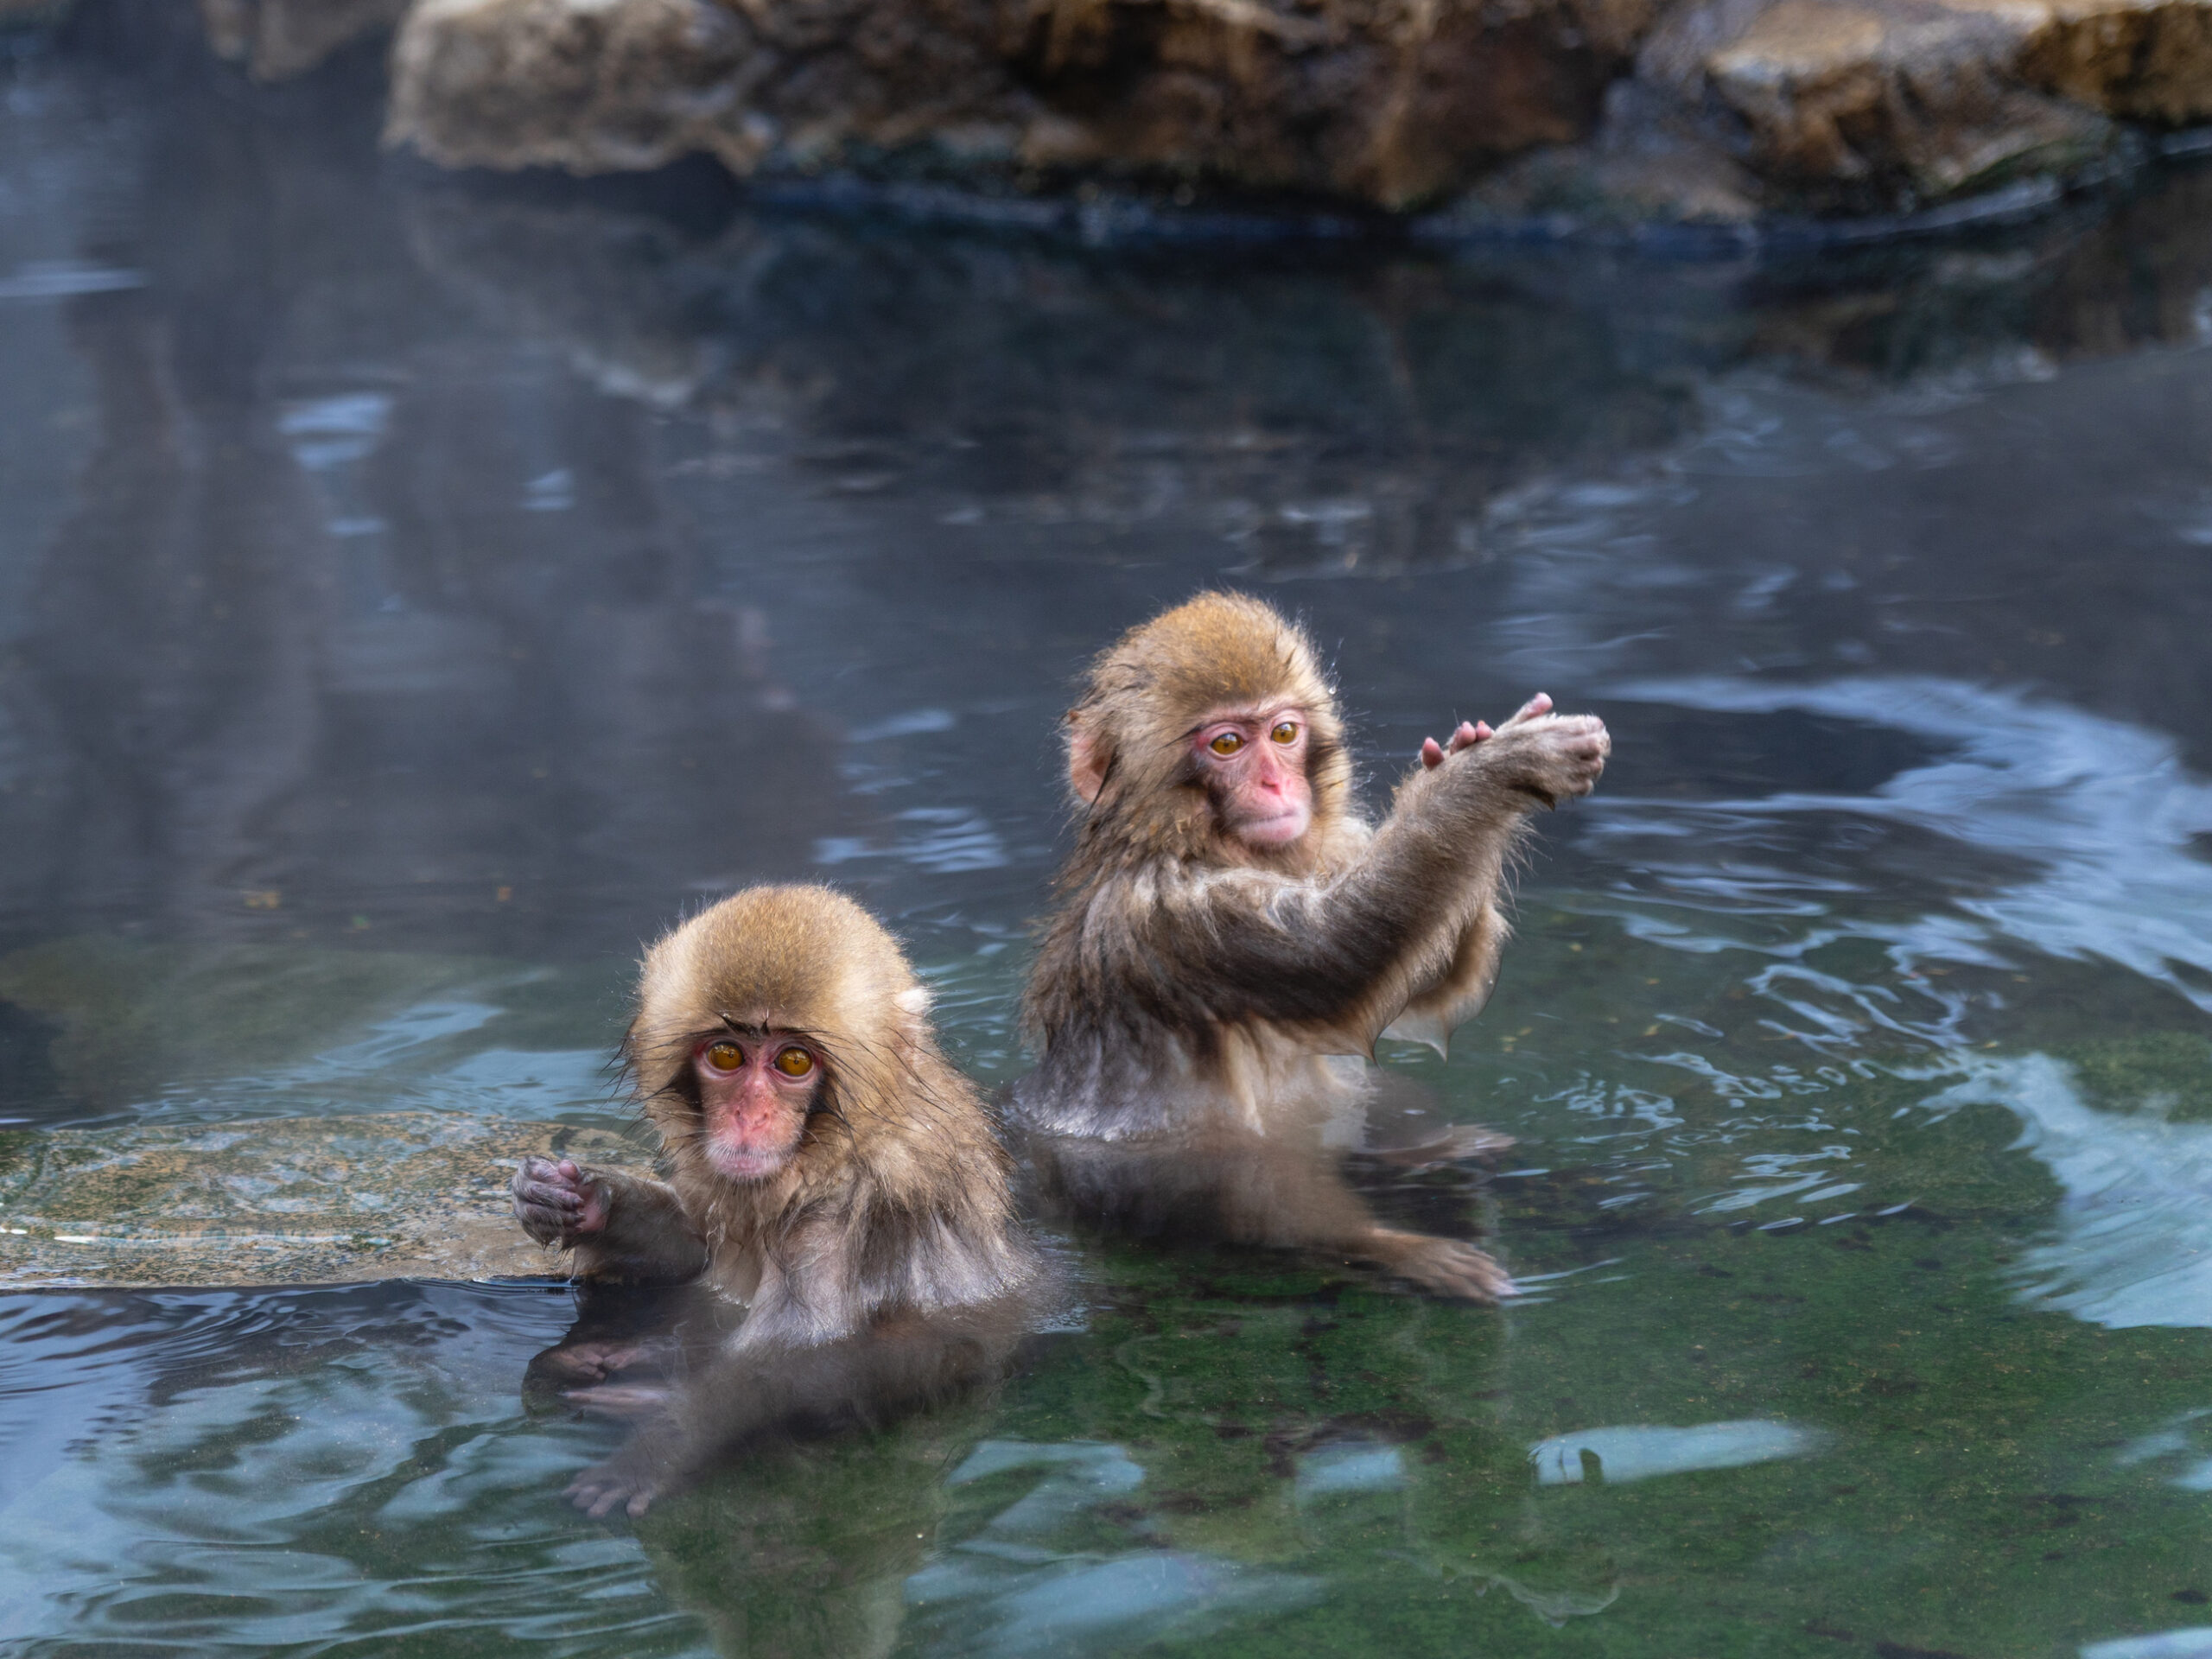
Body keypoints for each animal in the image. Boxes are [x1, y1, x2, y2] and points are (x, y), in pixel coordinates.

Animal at [508, 883, 1045, 1517]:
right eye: (727, 1055)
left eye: (793, 1061)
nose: (749, 1116)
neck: (830, 1154)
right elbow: (695, 1256)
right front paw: (583, 1199)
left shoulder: (854, 1207)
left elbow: (808, 1351)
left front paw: (664, 1442)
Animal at [1010, 591, 1609, 1303]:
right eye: (1228, 744)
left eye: (1284, 735)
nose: (1276, 785)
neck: (1199, 847)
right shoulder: (1174, 917)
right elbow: (1339, 962)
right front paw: (1489, 777)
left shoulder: (1338, 847)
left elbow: (1429, 998)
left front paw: (1465, 752)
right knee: (1260, 1178)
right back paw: (1384, 1244)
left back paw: (1426, 1150)